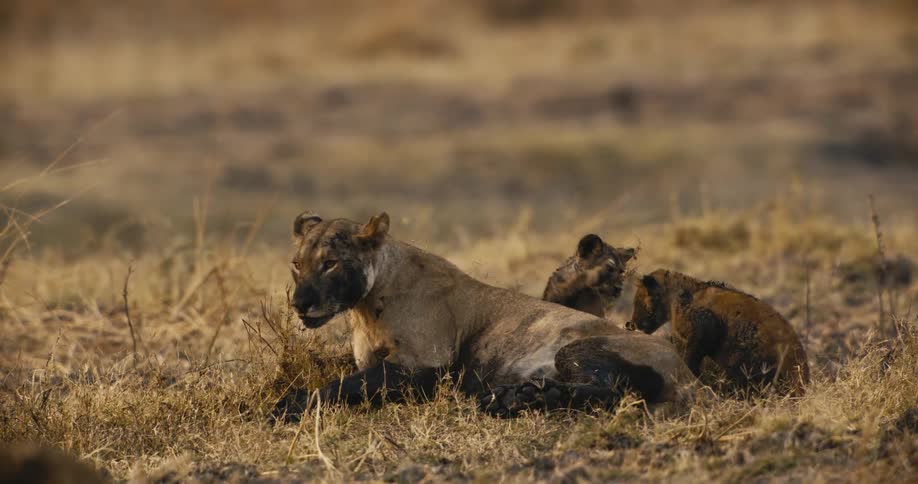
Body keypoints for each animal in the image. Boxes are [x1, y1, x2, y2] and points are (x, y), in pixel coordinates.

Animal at [273, 212, 694, 419]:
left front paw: (287, 406)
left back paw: (516, 398)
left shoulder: (426, 365)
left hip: (579, 348)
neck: (365, 310)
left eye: (329, 263)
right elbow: (345, 377)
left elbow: (344, 385)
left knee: (614, 392)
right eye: (296, 264)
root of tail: (687, 374)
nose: (300, 304)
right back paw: (516, 396)